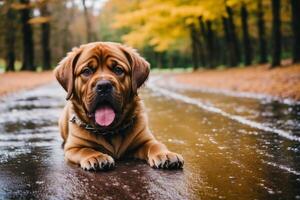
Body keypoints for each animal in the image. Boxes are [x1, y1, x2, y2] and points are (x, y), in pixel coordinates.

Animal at [54, 41, 184, 170]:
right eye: (86, 71)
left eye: (118, 70)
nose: (104, 86)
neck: (110, 131)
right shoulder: (73, 147)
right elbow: (85, 150)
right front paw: (96, 156)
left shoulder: (145, 139)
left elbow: (155, 145)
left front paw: (165, 154)